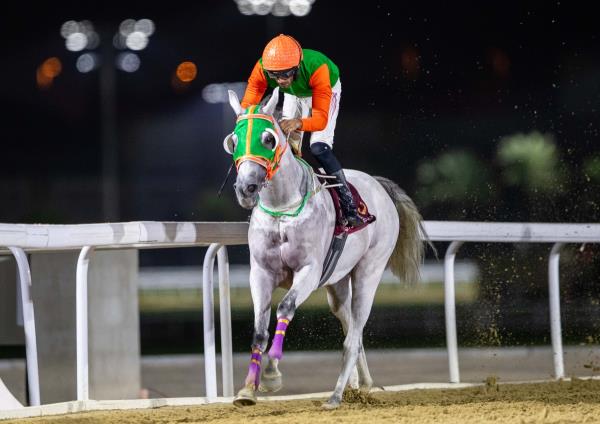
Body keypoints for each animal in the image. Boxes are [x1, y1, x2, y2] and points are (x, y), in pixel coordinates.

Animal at [221, 88, 426, 410]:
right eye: (233, 140)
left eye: (268, 139)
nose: (247, 189)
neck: (283, 208)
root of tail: (378, 185)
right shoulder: (261, 273)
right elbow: (258, 330)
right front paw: (247, 391)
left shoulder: (309, 271)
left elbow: (286, 307)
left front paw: (271, 374)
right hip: (338, 285)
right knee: (352, 328)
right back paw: (362, 384)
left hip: (369, 271)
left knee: (353, 335)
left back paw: (336, 395)